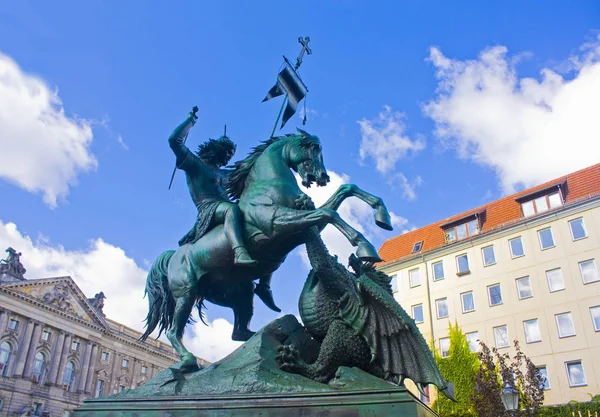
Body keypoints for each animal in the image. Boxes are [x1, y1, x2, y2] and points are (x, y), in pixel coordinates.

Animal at [141, 130, 394, 370]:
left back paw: (272, 333)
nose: (323, 177)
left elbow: (343, 191)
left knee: (239, 332)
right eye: (313, 147)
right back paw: (188, 360)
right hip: (187, 292)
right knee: (174, 330)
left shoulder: (298, 229)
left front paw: (382, 214)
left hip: (236, 292)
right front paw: (364, 245)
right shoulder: (278, 223)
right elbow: (329, 213)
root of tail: (171, 257)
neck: (268, 188)